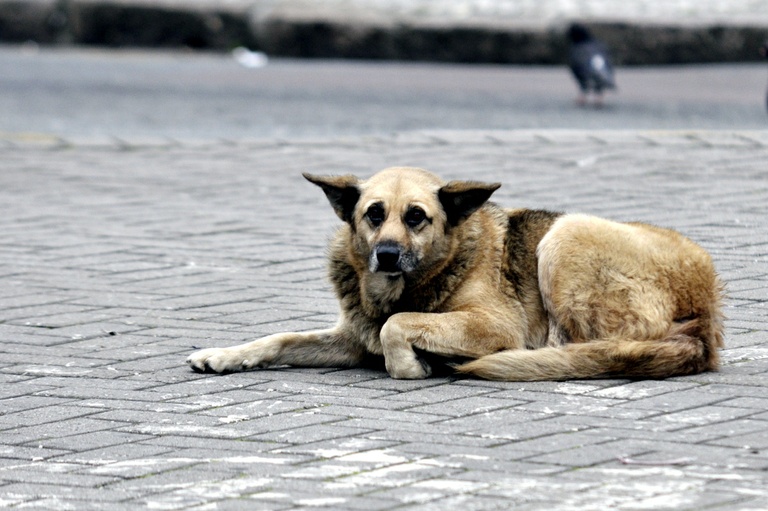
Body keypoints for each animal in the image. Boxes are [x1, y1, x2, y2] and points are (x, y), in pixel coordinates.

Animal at [188, 167, 728, 380]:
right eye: (372, 214)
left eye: (417, 217)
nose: (386, 255)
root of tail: (705, 316)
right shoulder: (351, 337)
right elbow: (279, 338)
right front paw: (225, 355)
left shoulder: (494, 324)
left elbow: (395, 326)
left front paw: (411, 365)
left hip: (565, 236)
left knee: (588, 347)